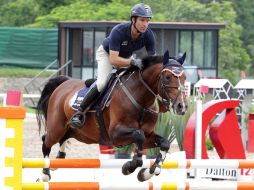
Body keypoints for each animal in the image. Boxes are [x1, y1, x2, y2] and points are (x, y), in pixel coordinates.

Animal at [35, 50, 187, 181]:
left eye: (184, 77)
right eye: (167, 77)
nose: (182, 106)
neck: (141, 100)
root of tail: (64, 83)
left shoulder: (149, 135)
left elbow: (164, 143)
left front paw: (147, 173)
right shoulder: (115, 135)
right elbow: (139, 136)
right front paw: (129, 167)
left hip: (77, 132)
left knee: (62, 139)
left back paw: (58, 159)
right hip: (57, 128)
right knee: (46, 141)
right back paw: (45, 174)